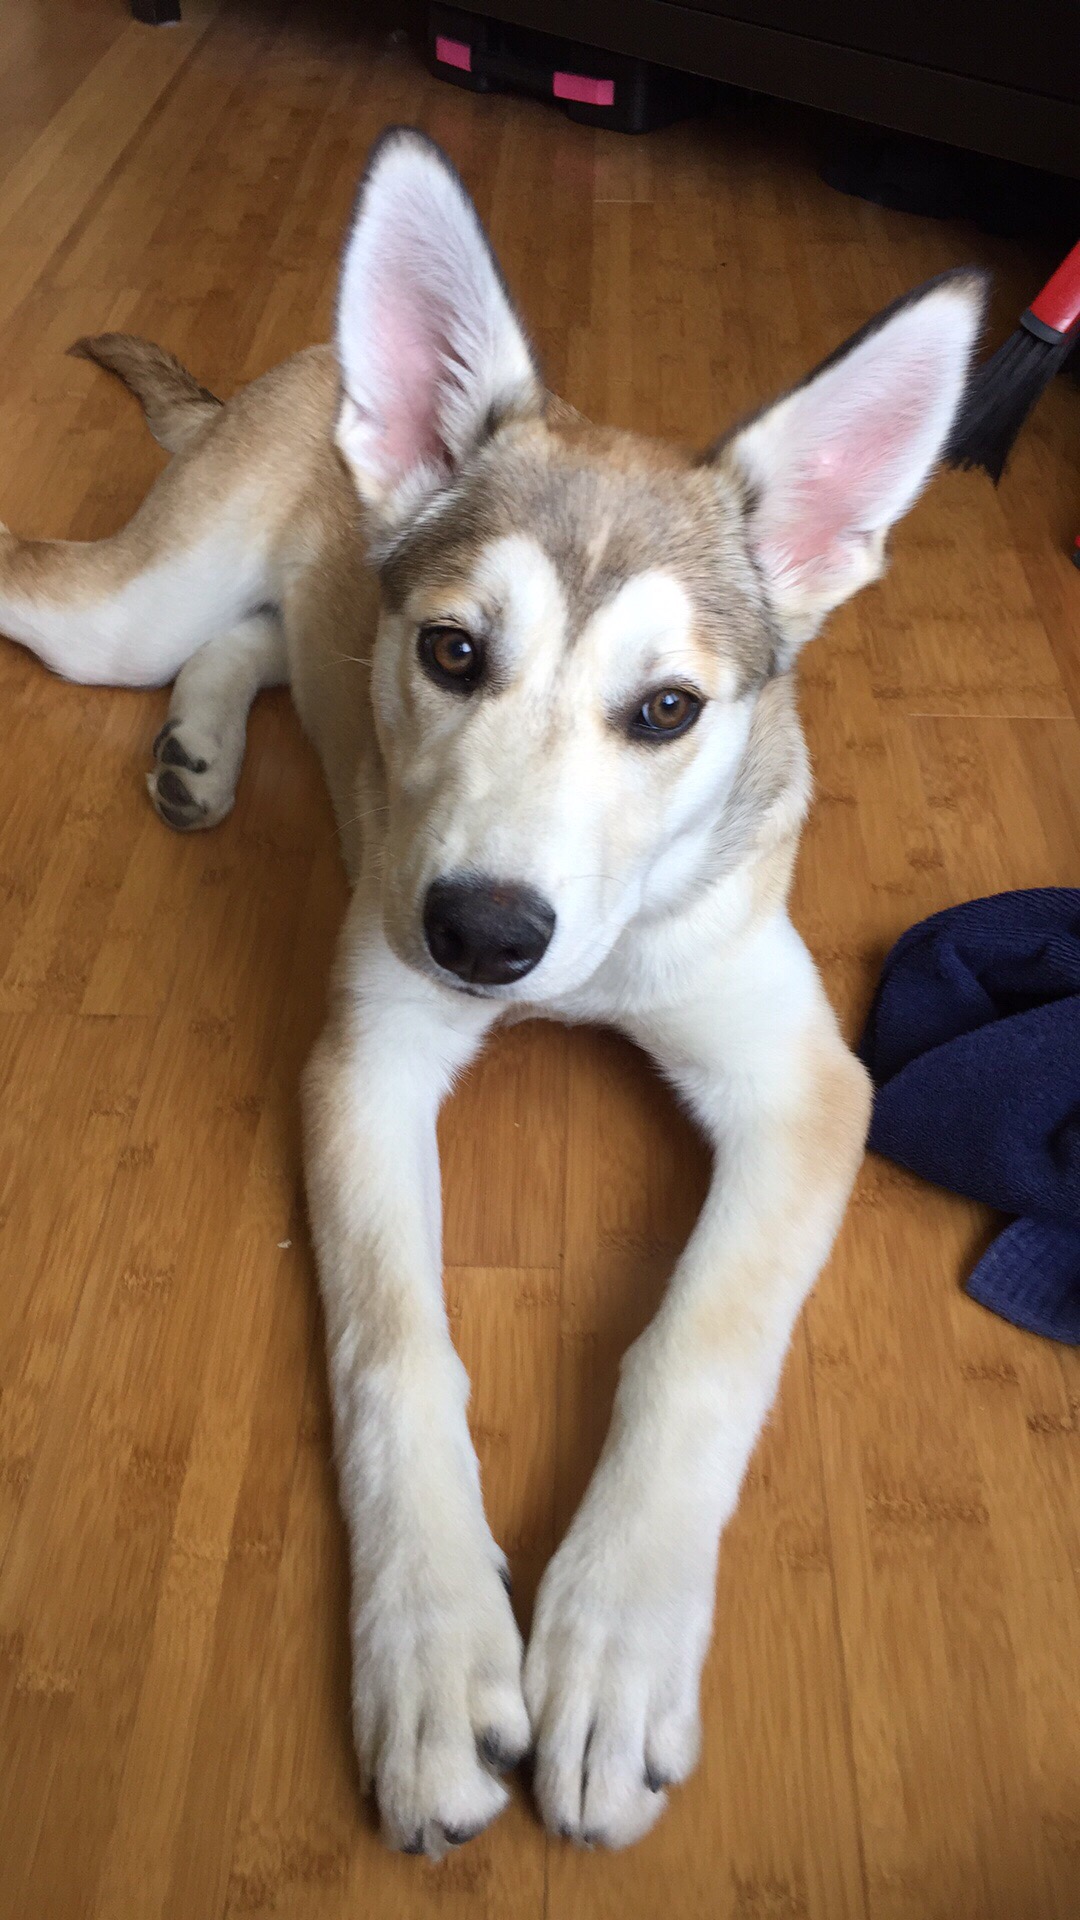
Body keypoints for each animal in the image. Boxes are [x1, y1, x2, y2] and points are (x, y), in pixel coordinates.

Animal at [0, 128, 985, 1859]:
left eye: (668, 711)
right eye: (456, 653)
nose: (480, 936)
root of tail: (300, 362)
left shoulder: (805, 1083)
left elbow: (698, 1339)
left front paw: (611, 1651)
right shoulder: (369, 1057)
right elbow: (394, 1346)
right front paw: (437, 1657)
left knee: (263, 643)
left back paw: (202, 747)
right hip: (116, 615)